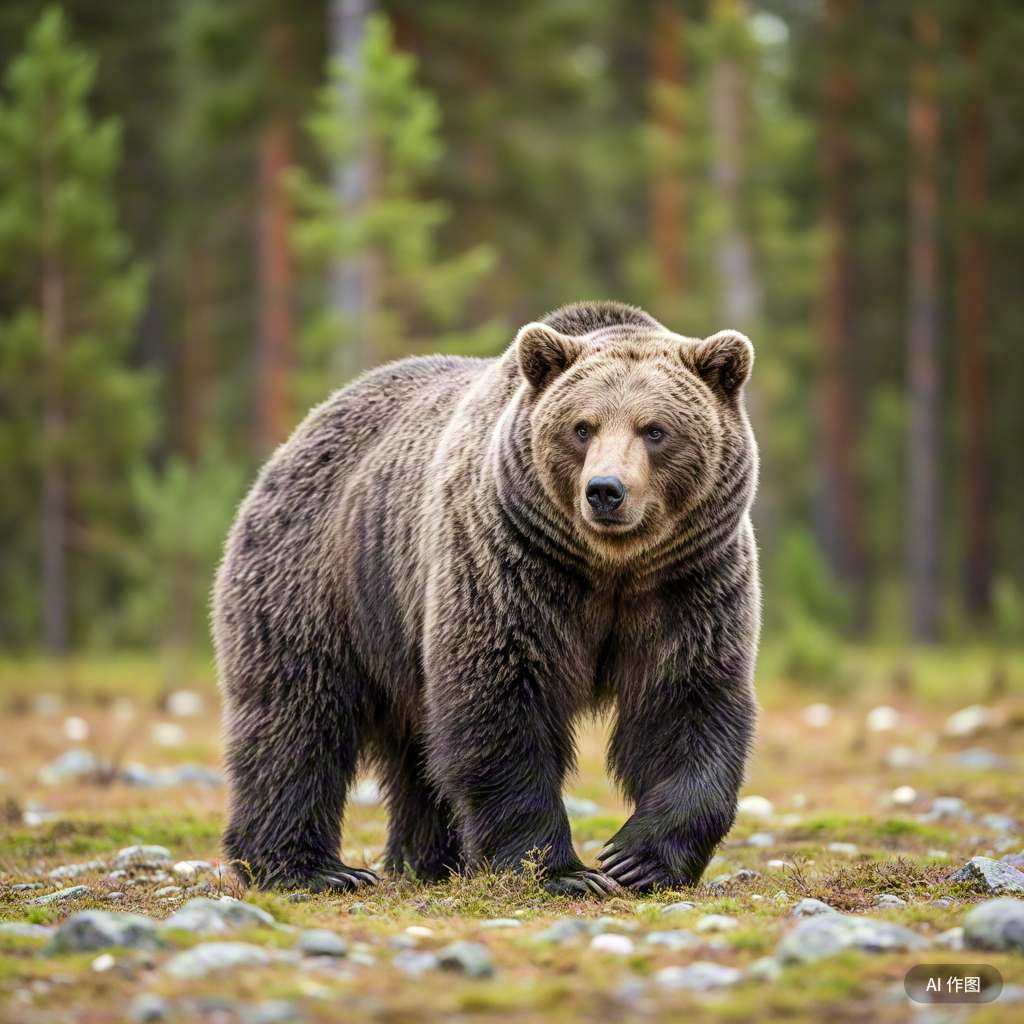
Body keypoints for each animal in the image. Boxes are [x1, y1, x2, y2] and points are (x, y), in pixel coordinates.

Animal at [214, 299, 761, 892]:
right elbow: (499, 701)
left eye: (655, 429)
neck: (609, 566)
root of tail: (300, 433)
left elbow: (687, 702)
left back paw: (428, 862)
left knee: (415, 752)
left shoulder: (688, 584)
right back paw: (310, 868)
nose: (605, 491)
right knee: (296, 717)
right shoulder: (508, 568)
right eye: (582, 427)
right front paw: (559, 871)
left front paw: (639, 859)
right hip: (321, 579)